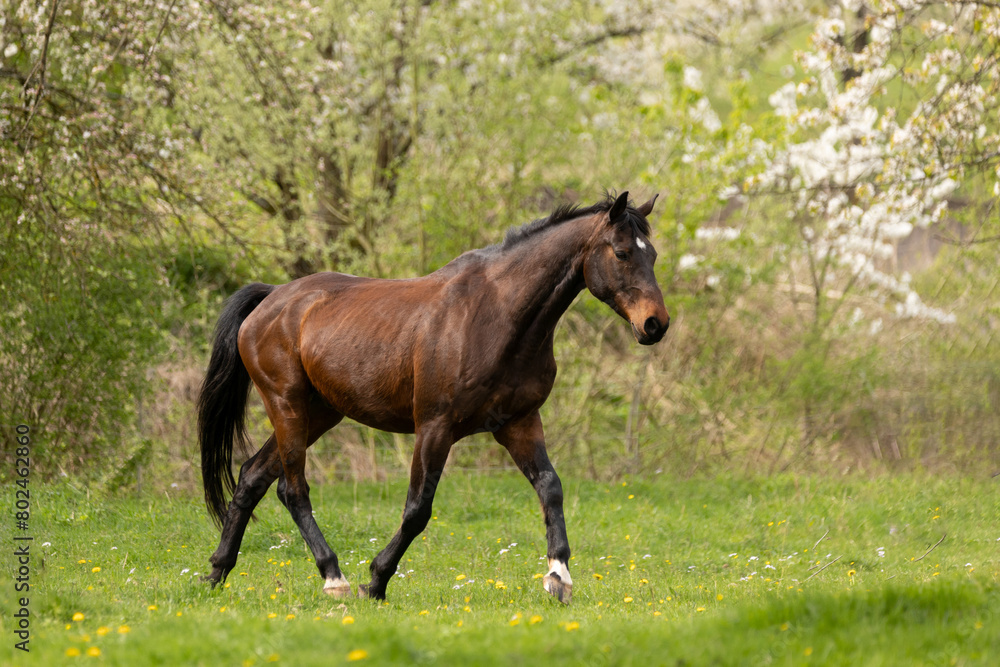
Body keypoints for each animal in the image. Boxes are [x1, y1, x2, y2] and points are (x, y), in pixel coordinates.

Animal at [195, 189, 668, 604]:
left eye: (653, 255)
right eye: (622, 253)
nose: (655, 324)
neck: (498, 316)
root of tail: (271, 299)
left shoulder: (519, 422)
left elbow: (550, 488)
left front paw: (558, 577)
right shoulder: (435, 428)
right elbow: (418, 509)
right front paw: (376, 581)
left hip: (320, 412)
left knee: (252, 477)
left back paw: (216, 573)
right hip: (287, 405)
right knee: (291, 489)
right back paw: (334, 578)